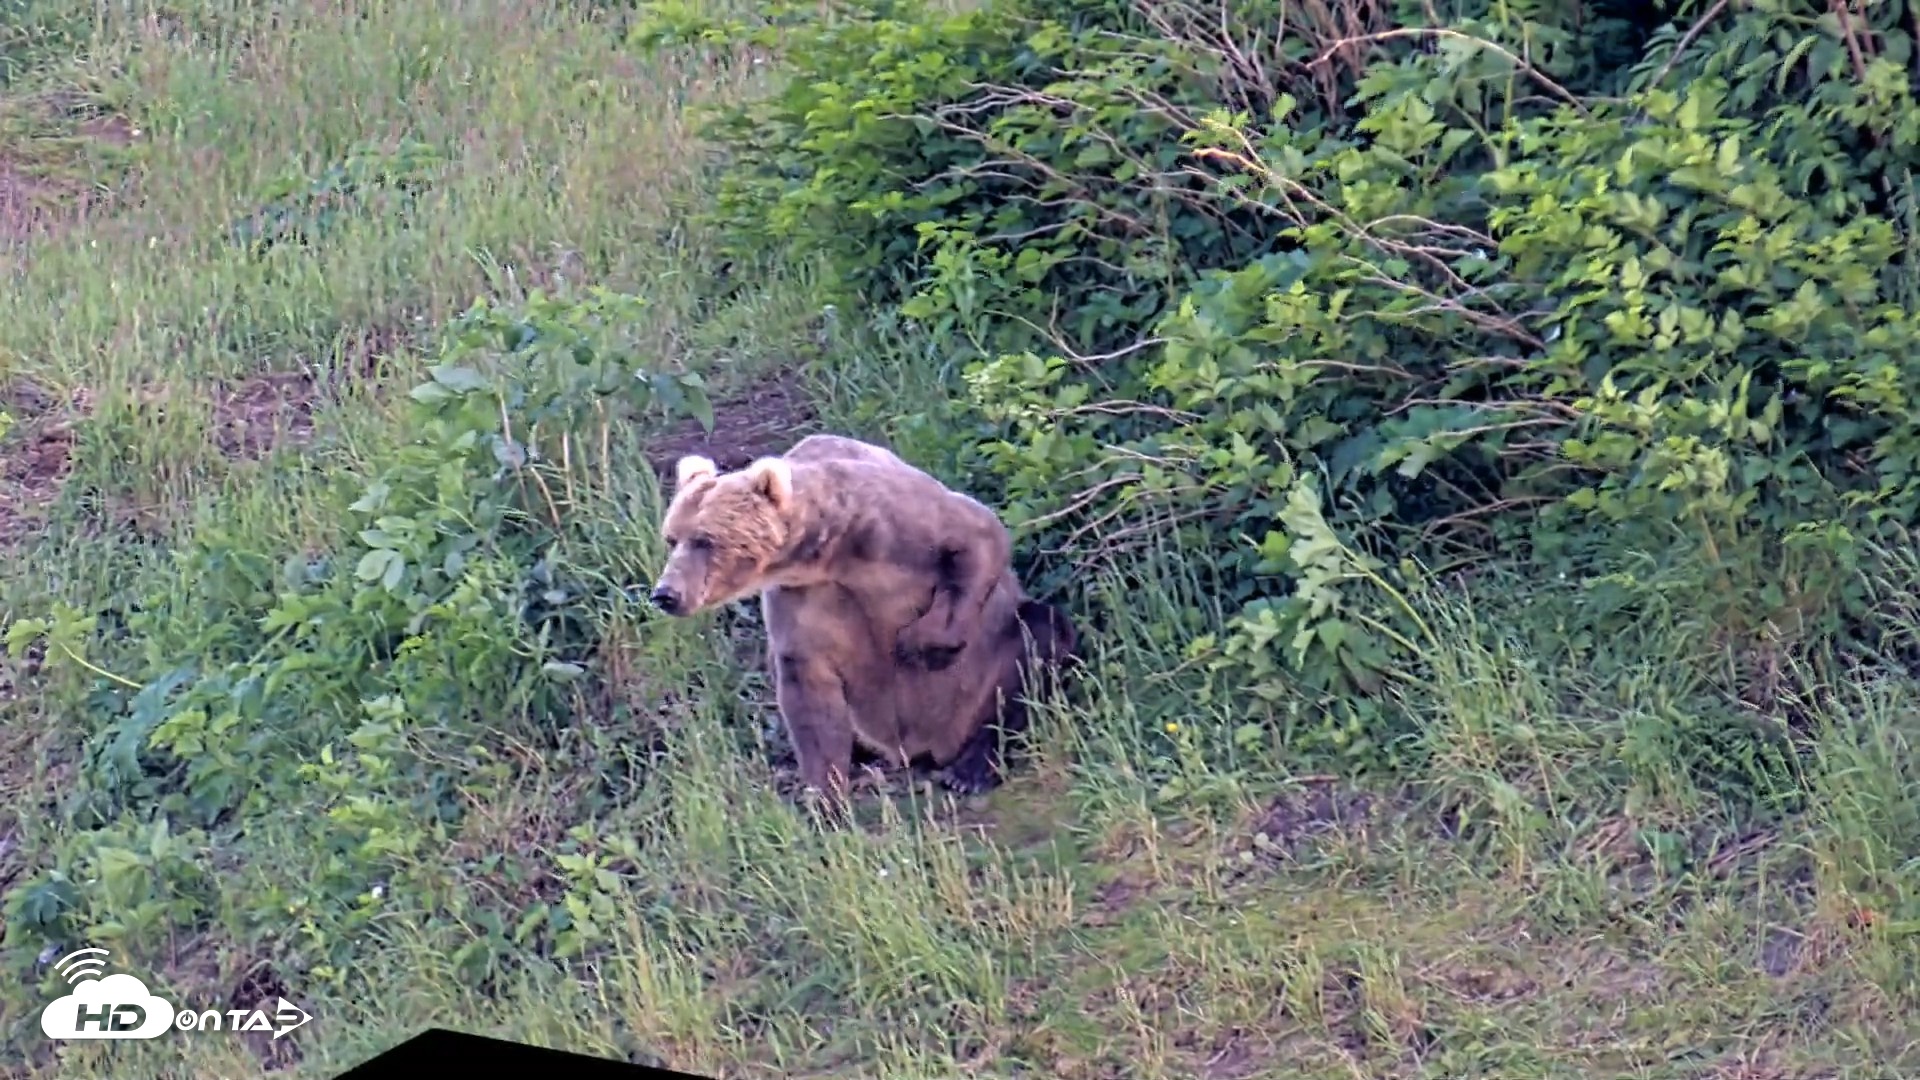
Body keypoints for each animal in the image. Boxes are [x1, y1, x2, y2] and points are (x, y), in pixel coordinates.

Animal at [646, 432, 1078, 807]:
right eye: (671, 537)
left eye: (705, 539)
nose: (666, 593)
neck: (832, 554)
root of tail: (928, 746)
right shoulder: (805, 601)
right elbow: (807, 688)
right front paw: (824, 793)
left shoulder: (898, 525)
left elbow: (978, 536)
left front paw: (918, 644)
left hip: (984, 679)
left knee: (1039, 641)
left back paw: (970, 768)